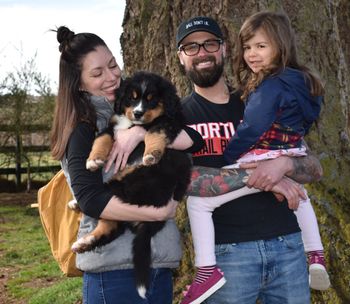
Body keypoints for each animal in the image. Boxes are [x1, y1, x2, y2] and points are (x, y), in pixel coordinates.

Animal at [71, 70, 191, 296]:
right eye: (132, 98)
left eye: (151, 99)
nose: (137, 113)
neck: (135, 124)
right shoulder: (113, 126)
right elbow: (102, 139)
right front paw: (93, 160)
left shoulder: (169, 121)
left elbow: (153, 131)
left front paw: (151, 154)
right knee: (109, 224)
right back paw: (84, 242)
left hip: (133, 181)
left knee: (102, 199)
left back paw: (76, 208)